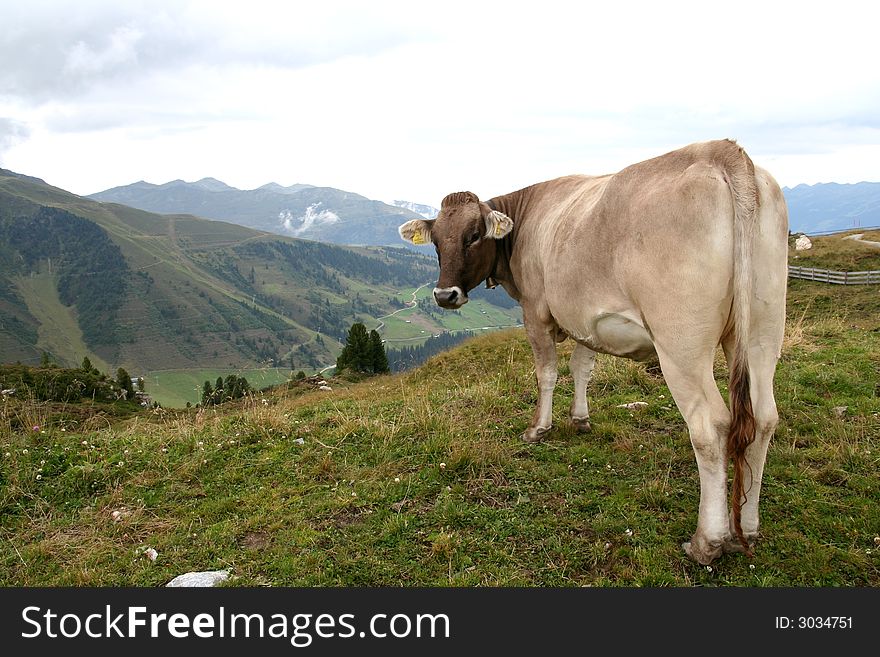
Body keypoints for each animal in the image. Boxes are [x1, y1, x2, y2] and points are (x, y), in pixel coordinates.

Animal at [400, 140, 792, 564]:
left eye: (473, 236)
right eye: (436, 240)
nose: (444, 295)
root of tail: (721, 152)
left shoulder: (536, 311)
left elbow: (547, 373)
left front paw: (538, 428)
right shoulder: (586, 319)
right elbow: (581, 368)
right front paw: (580, 419)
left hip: (681, 341)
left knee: (710, 426)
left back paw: (708, 541)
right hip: (763, 327)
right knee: (763, 418)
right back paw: (746, 530)